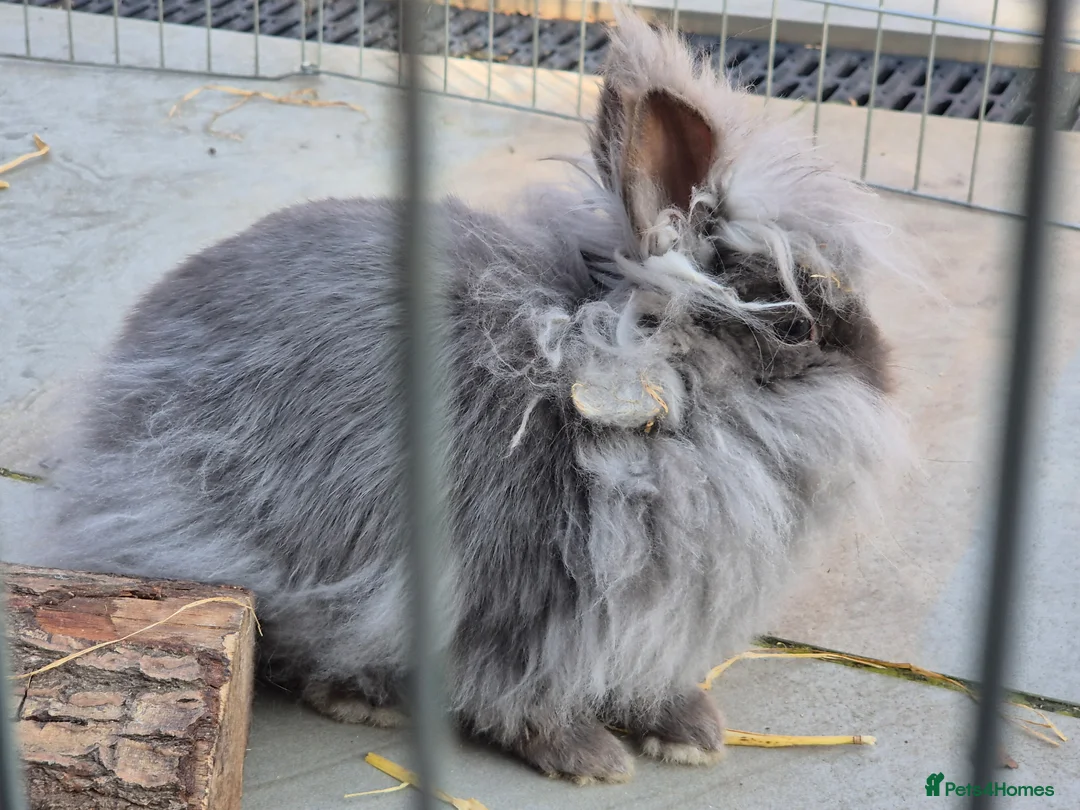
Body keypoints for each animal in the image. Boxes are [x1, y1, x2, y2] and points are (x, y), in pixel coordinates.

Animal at [24, 9, 909, 784]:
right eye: (795, 327)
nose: (889, 376)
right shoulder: (521, 606)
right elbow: (519, 694)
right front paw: (591, 760)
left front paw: (691, 734)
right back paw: (365, 698)